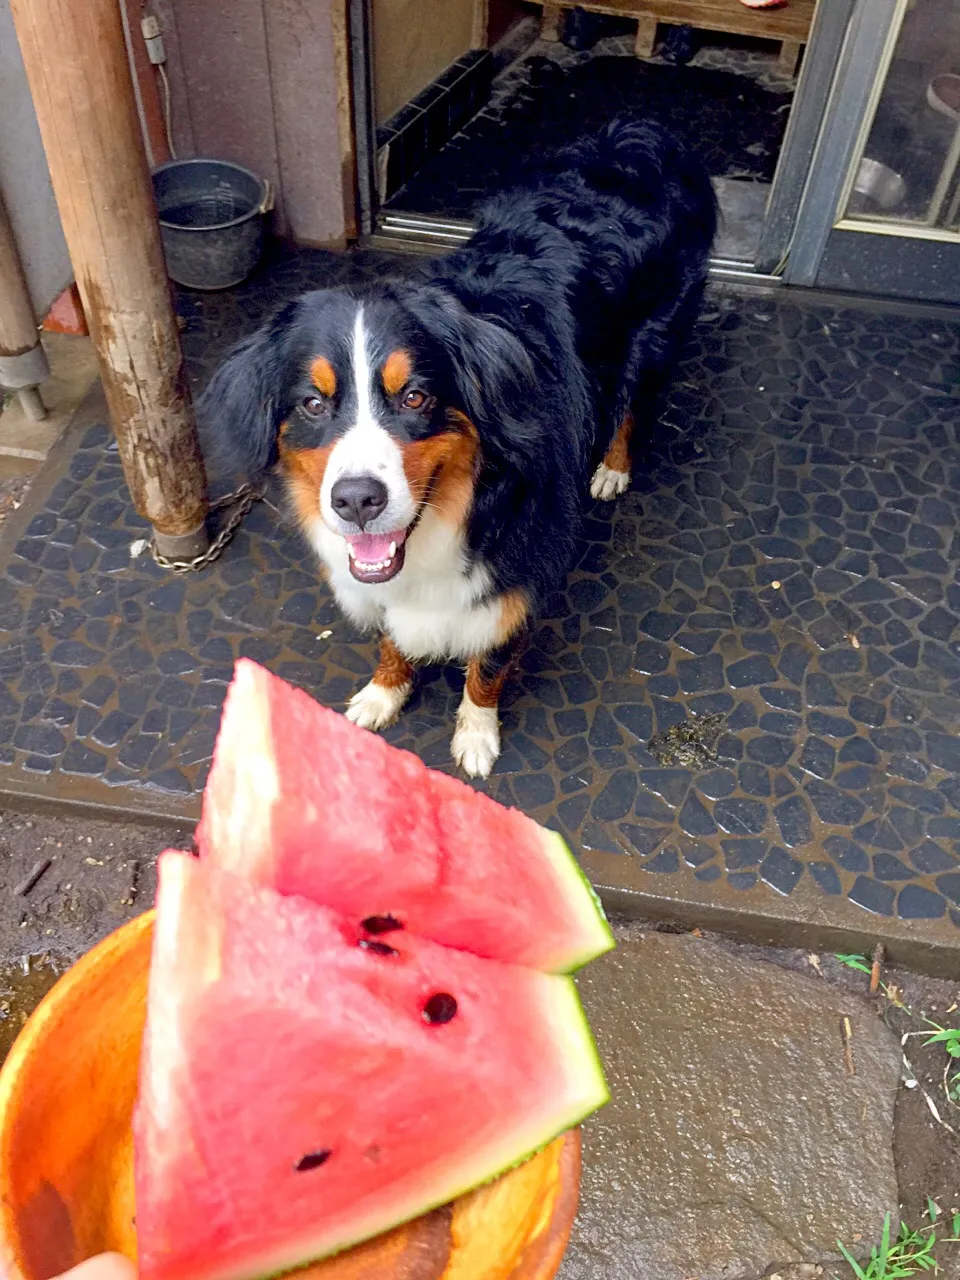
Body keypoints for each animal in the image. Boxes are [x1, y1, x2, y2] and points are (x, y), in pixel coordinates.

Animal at [199, 122, 716, 778]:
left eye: (416, 396)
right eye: (314, 404)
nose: (357, 501)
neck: (461, 505)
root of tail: (640, 133)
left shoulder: (518, 568)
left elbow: (488, 663)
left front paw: (475, 734)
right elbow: (391, 633)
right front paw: (384, 693)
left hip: (654, 338)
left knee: (630, 406)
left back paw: (611, 470)